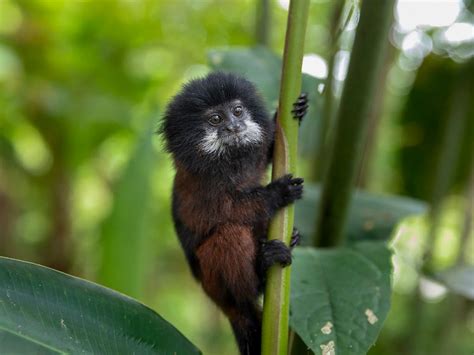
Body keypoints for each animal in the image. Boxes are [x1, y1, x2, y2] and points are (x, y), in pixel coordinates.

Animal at [159, 72, 308, 355]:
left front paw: (299, 109)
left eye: (237, 111)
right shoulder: (203, 186)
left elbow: (266, 153)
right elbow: (228, 214)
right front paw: (277, 193)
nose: (233, 127)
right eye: (216, 119)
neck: (228, 159)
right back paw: (262, 272)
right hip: (216, 283)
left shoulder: (252, 156)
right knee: (229, 236)